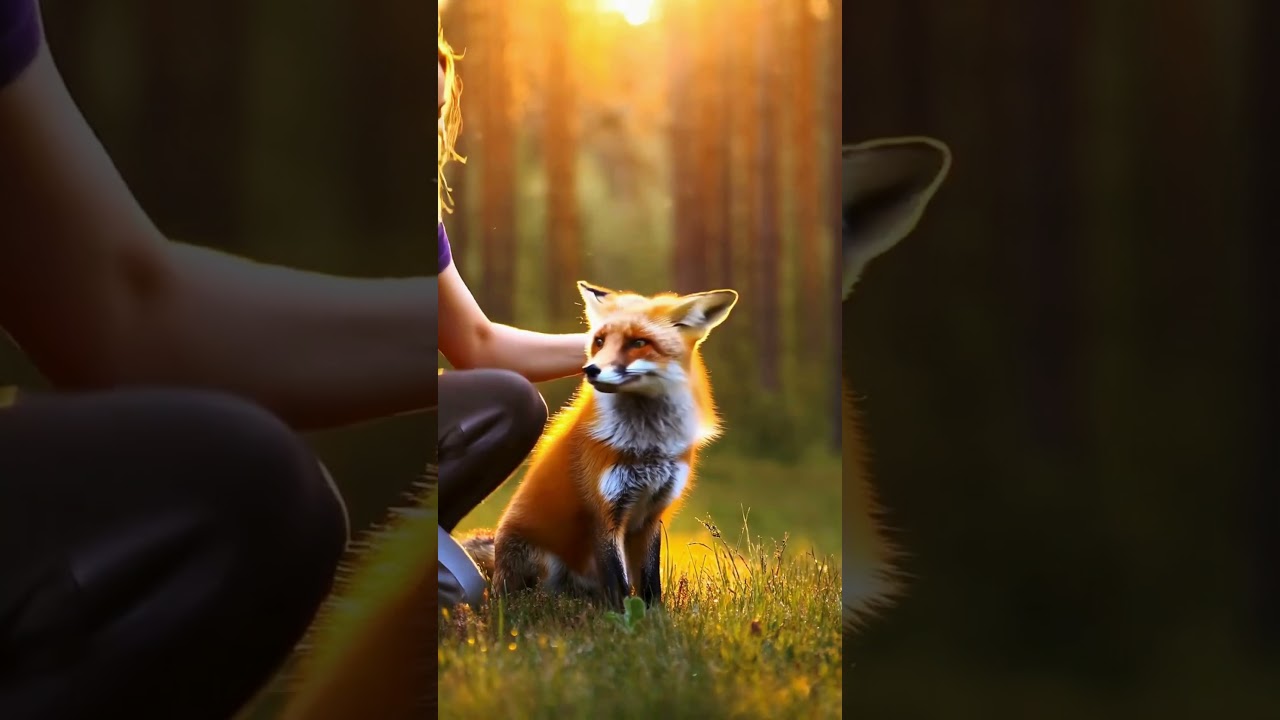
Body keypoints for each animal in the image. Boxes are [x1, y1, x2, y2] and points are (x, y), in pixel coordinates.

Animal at [460, 280, 738, 609]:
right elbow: (619, 584)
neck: (649, 447)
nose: (590, 369)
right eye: (600, 341)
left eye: (638, 343)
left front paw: (655, 617)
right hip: (544, 566)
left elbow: (649, 582)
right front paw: (622, 616)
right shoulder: (603, 511)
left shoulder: (652, 514)